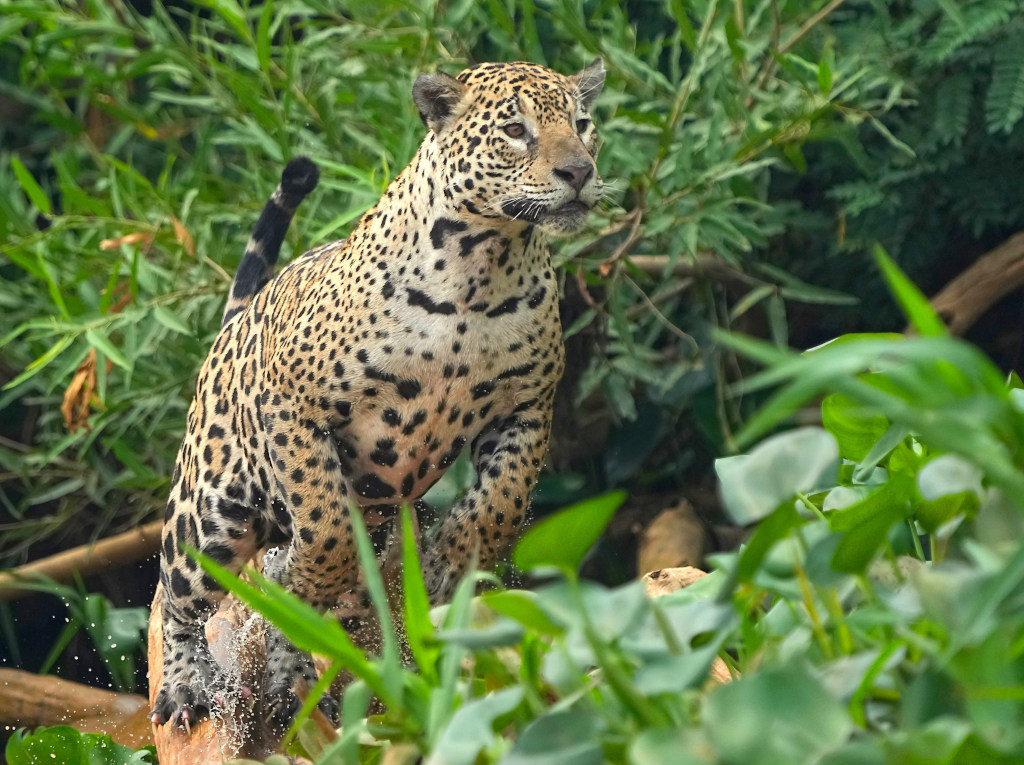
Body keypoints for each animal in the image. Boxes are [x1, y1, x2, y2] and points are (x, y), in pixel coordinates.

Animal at [150, 58, 606, 734]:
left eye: (582, 124)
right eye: (516, 131)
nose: (579, 172)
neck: (484, 267)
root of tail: (236, 321)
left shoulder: (526, 407)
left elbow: (500, 502)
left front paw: (449, 563)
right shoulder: (295, 405)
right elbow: (325, 523)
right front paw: (303, 571)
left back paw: (292, 683)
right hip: (215, 509)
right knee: (177, 595)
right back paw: (185, 688)